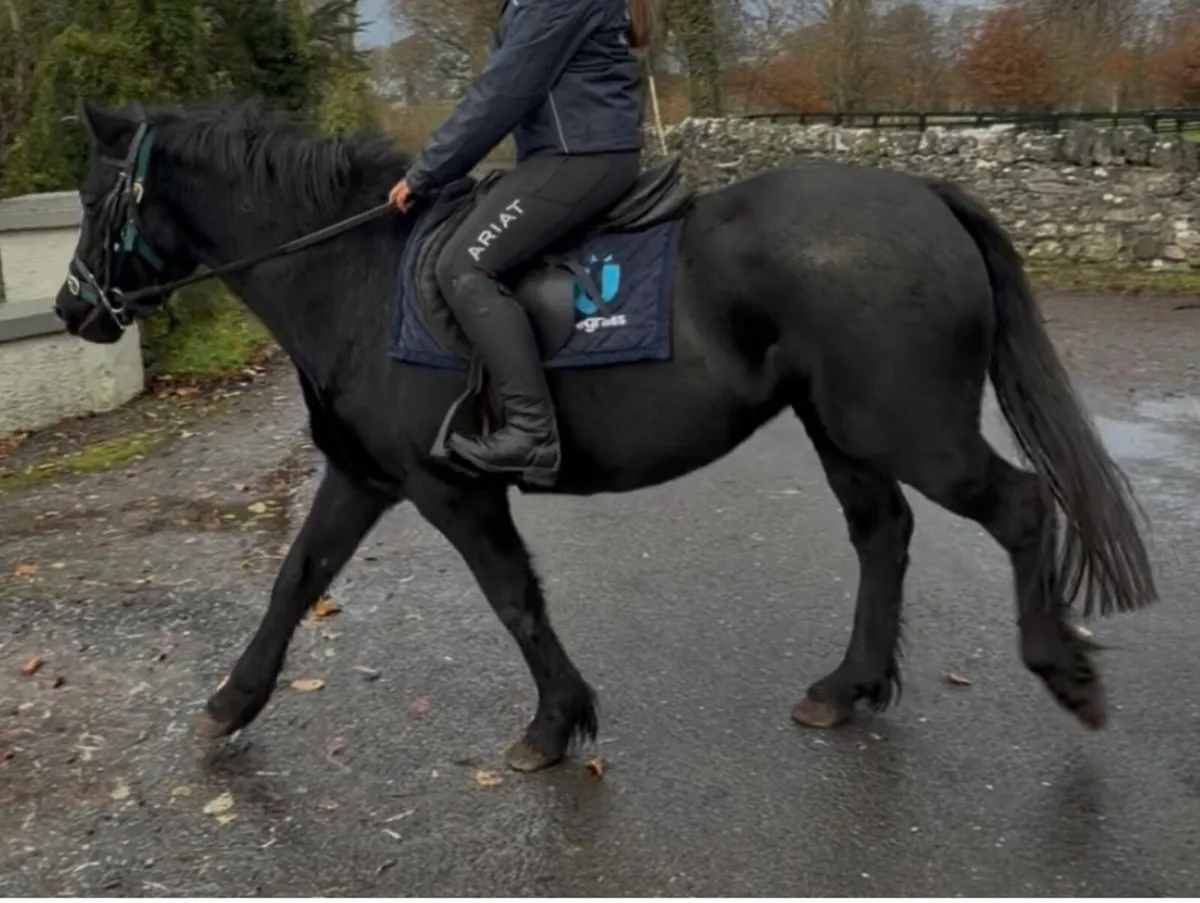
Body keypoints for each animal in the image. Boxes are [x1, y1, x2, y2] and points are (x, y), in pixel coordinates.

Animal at [52, 99, 1156, 773]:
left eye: (94, 197)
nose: (72, 312)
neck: (354, 277)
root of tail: (924, 194)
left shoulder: (450, 487)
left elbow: (513, 597)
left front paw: (555, 722)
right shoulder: (366, 477)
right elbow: (296, 579)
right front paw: (230, 703)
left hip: (910, 427)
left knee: (1020, 505)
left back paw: (1064, 671)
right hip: (842, 428)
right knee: (882, 535)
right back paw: (846, 688)